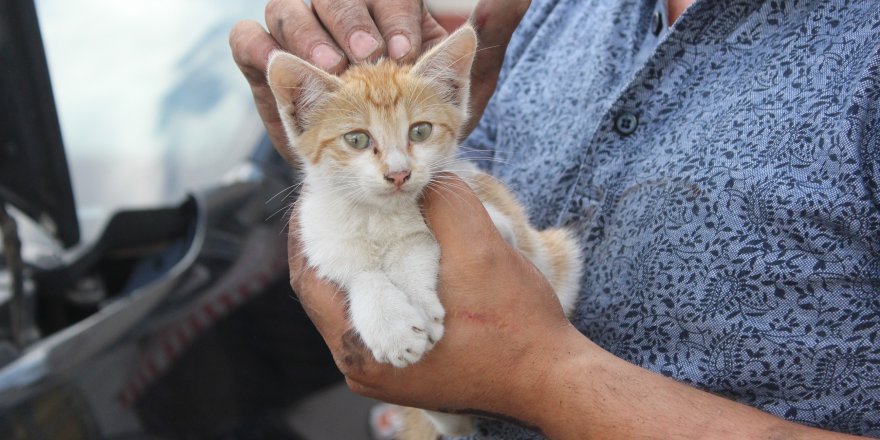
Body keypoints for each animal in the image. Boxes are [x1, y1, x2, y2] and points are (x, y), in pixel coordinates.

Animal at [268, 25, 584, 438]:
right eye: (357, 139)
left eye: (420, 131)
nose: (399, 173)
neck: (381, 217)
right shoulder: (321, 236)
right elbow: (360, 273)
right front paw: (390, 325)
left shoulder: (496, 216)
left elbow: (416, 245)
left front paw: (414, 293)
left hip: (561, 254)